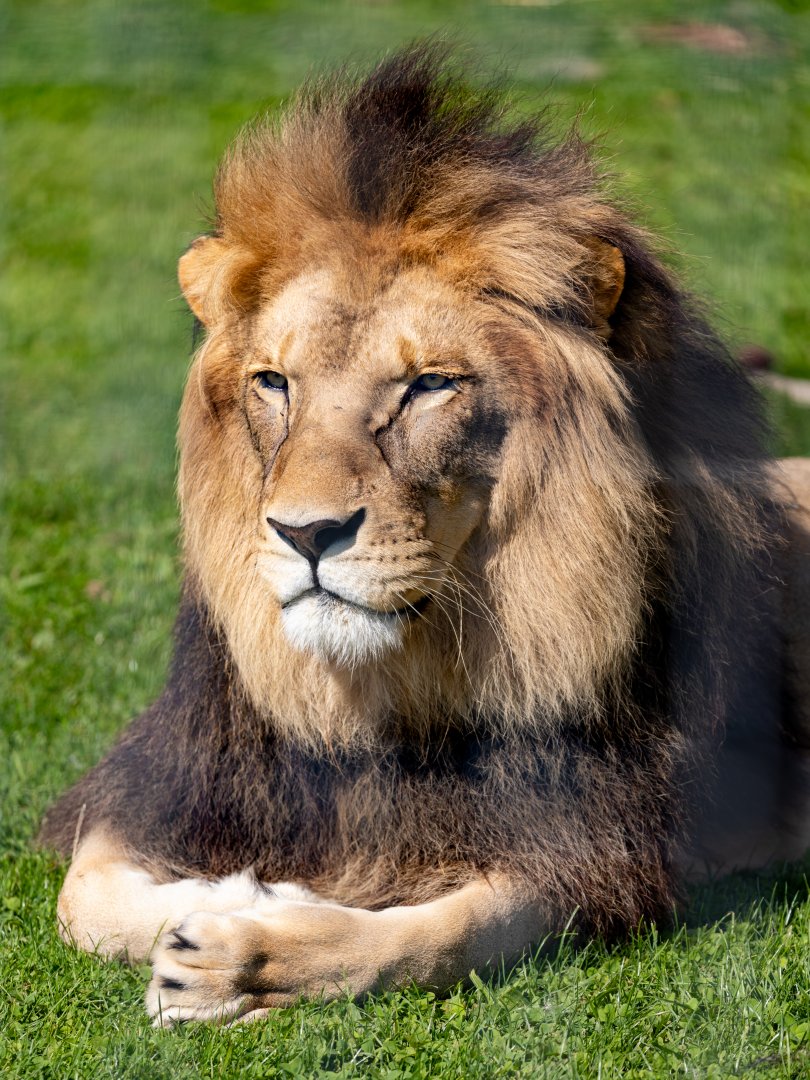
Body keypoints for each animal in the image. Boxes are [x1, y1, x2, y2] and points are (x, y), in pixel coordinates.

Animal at [39, 46, 810, 1026]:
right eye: (273, 382)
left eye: (429, 386)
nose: (307, 533)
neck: (396, 693)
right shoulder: (170, 782)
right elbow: (84, 896)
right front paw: (235, 892)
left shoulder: (602, 839)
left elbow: (439, 934)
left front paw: (246, 955)